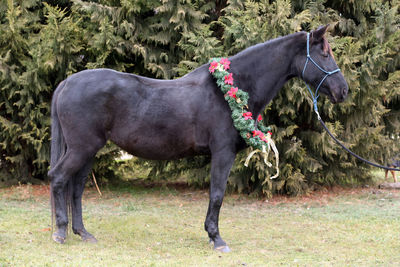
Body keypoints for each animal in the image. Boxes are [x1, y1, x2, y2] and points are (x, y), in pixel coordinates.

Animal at [47, 24, 346, 252]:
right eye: (324, 53)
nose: (343, 90)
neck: (229, 90)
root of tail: (66, 83)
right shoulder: (223, 153)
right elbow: (217, 194)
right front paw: (216, 238)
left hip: (88, 150)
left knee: (76, 188)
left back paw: (83, 233)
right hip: (81, 148)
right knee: (59, 178)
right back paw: (60, 233)